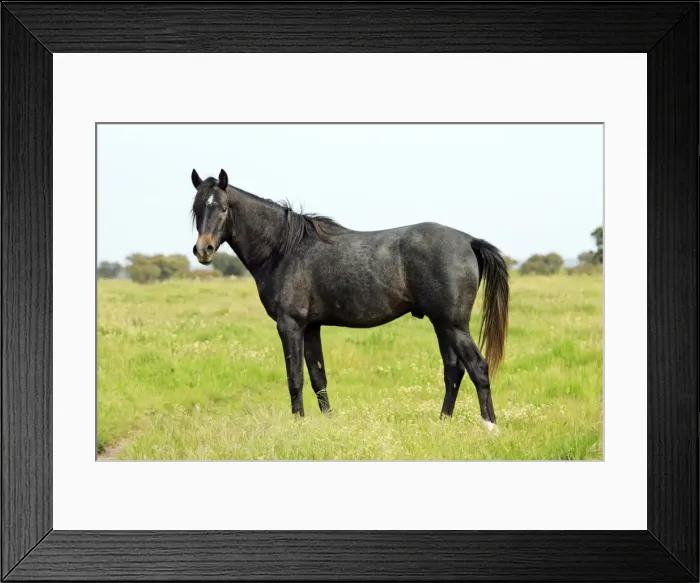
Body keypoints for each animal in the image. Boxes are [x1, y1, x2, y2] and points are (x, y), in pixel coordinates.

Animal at [190, 169, 509, 430]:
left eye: (222, 208)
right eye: (196, 209)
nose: (203, 250)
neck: (284, 249)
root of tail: (468, 240)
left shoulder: (289, 324)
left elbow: (295, 377)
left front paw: (298, 424)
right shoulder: (310, 327)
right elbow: (318, 377)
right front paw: (328, 422)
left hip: (453, 325)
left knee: (477, 367)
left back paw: (489, 426)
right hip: (442, 324)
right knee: (454, 370)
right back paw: (442, 423)